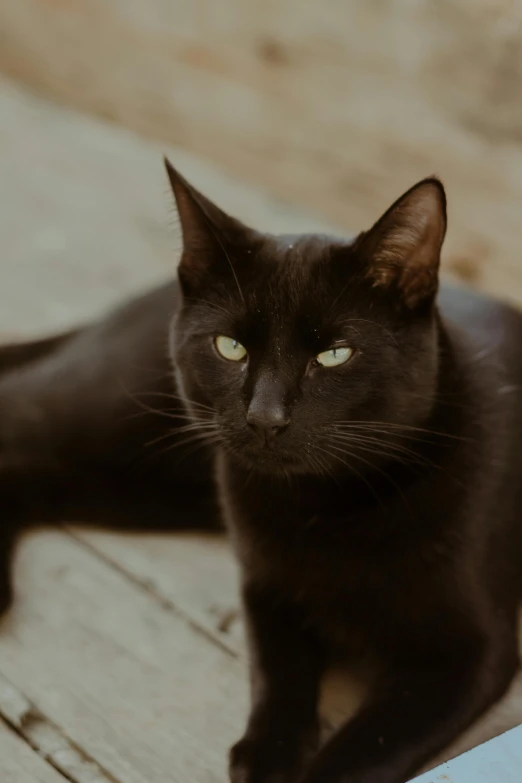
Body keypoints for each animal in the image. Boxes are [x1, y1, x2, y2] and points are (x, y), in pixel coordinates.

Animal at [1, 161, 520, 783]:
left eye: (334, 354)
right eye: (230, 347)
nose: (265, 416)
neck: (325, 510)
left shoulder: (465, 656)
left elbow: (363, 749)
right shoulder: (265, 587)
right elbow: (278, 673)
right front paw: (266, 756)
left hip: (144, 486)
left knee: (33, 473)